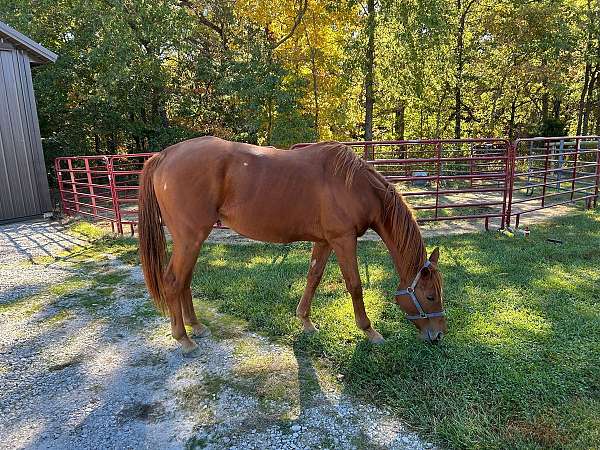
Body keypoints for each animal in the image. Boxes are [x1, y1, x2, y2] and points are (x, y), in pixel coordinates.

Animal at [137, 135, 446, 354]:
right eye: (431, 296)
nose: (438, 335)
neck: (355, 185)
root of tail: (164, 155)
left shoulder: (325, 241)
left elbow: (313, 278)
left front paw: (305, 321)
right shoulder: (343, 240)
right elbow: (355, 285)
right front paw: (370, 332)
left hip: (193, 240)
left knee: (185, 280)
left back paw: (196, 325)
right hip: (190, 238)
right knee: (173, 281)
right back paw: (183, 338)